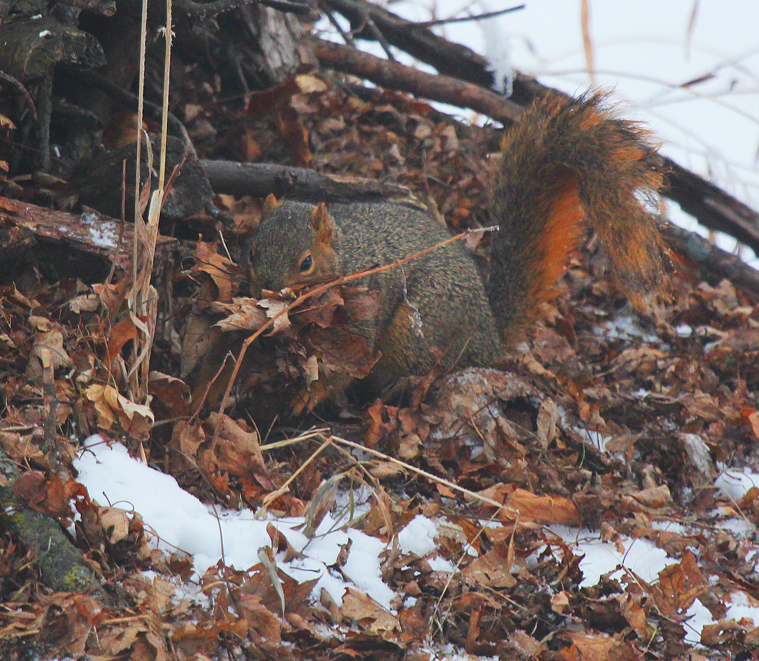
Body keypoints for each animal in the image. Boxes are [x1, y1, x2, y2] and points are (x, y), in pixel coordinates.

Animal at [243, 93, 664, 410]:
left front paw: (307, 396)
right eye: (252, 253)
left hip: (417, 329)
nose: (267, 291)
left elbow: (346, 367)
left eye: (306, 263)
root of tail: (490, 337)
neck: (345, 259)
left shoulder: (360, 317)